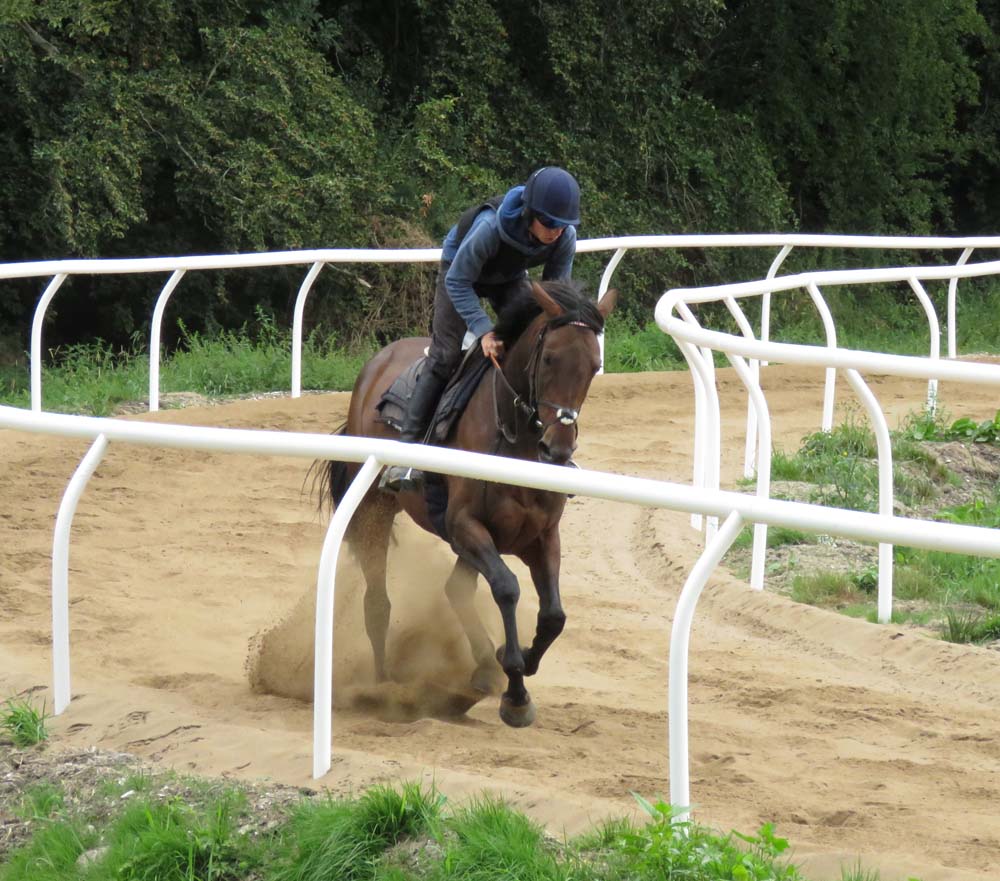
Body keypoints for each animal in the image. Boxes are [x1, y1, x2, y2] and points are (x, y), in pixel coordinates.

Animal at [319, 279, 617, 727]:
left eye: (595, 365)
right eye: (549, 358)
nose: (558, 450)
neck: (515, 440)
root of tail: (375, 364)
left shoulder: (541, 535)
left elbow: (553, 615)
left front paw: (515, 658)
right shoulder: (466, 525)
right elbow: (507, 589)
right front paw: (515, 691)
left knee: (455, 589)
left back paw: (480, 668)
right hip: (375, 507)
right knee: (378, 602)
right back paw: (384, 685)